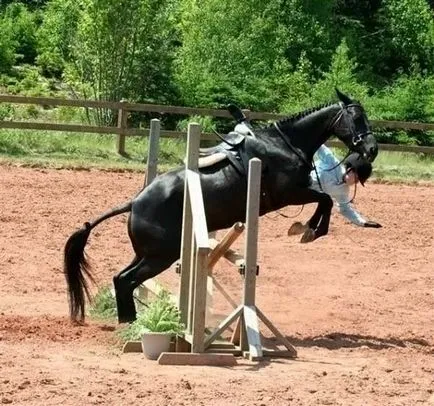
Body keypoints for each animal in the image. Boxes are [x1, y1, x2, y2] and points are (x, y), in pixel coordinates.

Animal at [63, 89, 376, 324]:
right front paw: (309, 230)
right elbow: (325, 200)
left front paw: (305, 228)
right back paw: (132, 324)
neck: (286, 144)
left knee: (121, 279)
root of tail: (135, 202)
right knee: (127, 280)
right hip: (160, 255)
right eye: (357, 117)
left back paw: (129, 322)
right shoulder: (288, 193)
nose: (372, 149)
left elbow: (326, 200)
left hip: (149, 252)